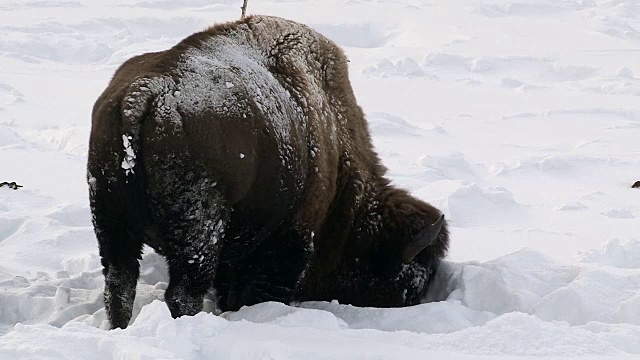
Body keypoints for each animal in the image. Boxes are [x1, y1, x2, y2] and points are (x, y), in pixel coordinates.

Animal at [87, 15, 450, 330]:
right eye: (410, 274)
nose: (413, 301)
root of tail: (146, 91)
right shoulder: (292, 239)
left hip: (110, 224)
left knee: (119, 285)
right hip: (198, 232)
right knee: (182, 294)